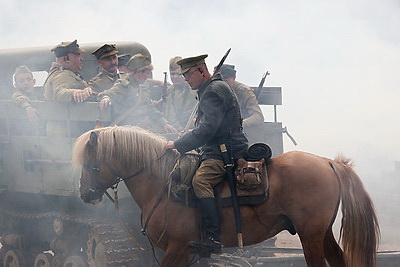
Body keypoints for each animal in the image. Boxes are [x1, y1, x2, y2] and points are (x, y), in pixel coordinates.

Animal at [72, 126, 382, 267]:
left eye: (90, 162)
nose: (84, 193)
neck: (164, 183)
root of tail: (328, 162)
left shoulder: (178, 249)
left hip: (310, 235)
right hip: (321, 233)